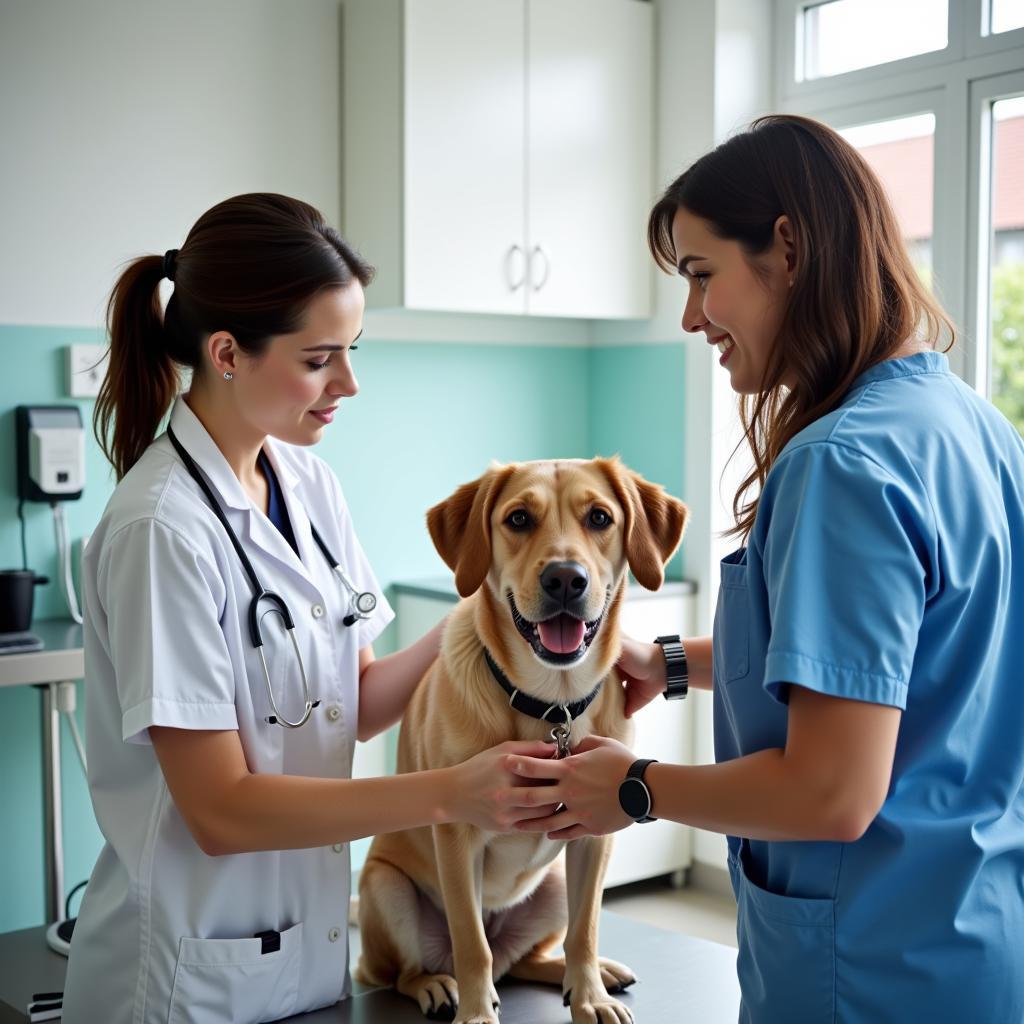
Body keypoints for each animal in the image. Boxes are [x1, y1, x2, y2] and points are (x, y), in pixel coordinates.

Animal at [356, 458, 684, 1024]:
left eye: (600, 517)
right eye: (518, 519)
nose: (565, 578)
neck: (553, 704)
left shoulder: (595, 835)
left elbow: (585, 931)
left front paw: (590, 996)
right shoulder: (457, 834)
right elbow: (471, 943)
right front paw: (476, 1012)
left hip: (551, 885)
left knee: (530, 957)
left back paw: (591, 976)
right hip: (385, 887)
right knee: (414, 970)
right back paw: (438, 986)